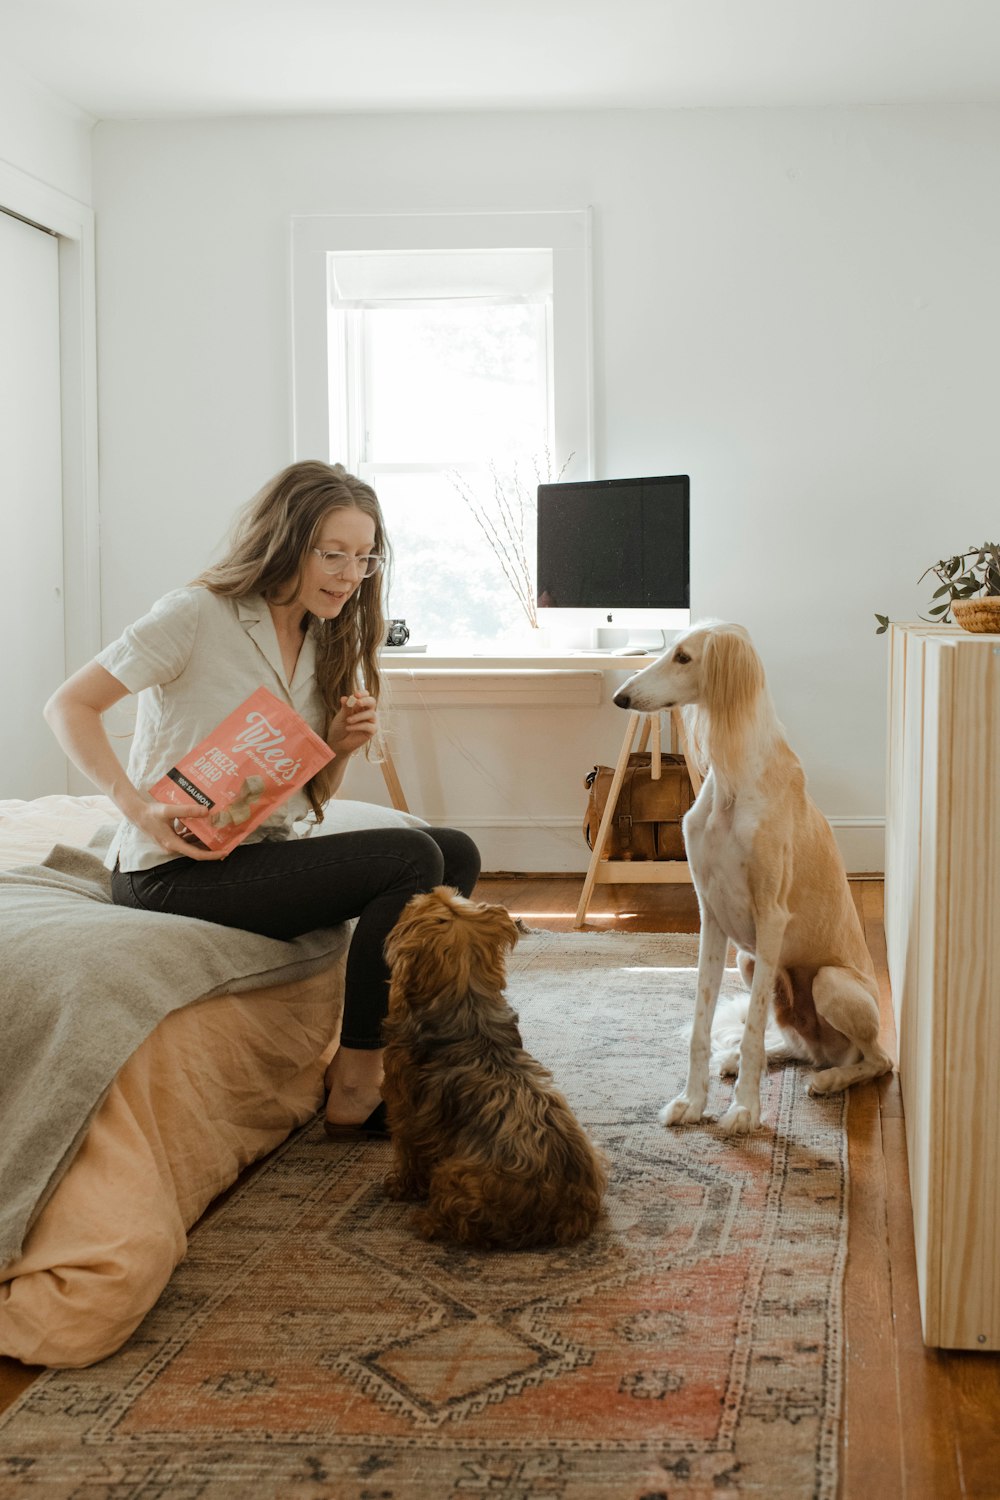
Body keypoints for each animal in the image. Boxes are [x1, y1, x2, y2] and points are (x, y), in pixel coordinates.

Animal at [379, 882, 605, 1248]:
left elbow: (409, 1153)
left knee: (461, 1223)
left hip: (455, 1175)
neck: (466, 1004)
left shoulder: (404, 1110)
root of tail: (564, 1210)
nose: (428, 889)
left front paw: (400, 1187)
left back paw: (426, 1221)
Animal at [617, 624, 893, 1134]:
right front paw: (692, 1101)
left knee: (877, 1060)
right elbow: (704, 1023)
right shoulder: (711, 916)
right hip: (746, 962)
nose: (620, 698)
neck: (732, 784)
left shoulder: (771, 918)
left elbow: (751, 1031)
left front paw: (744, 1109)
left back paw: (831, 1080)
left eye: (683, 657)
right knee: (799, 1046)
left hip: (831, 983)